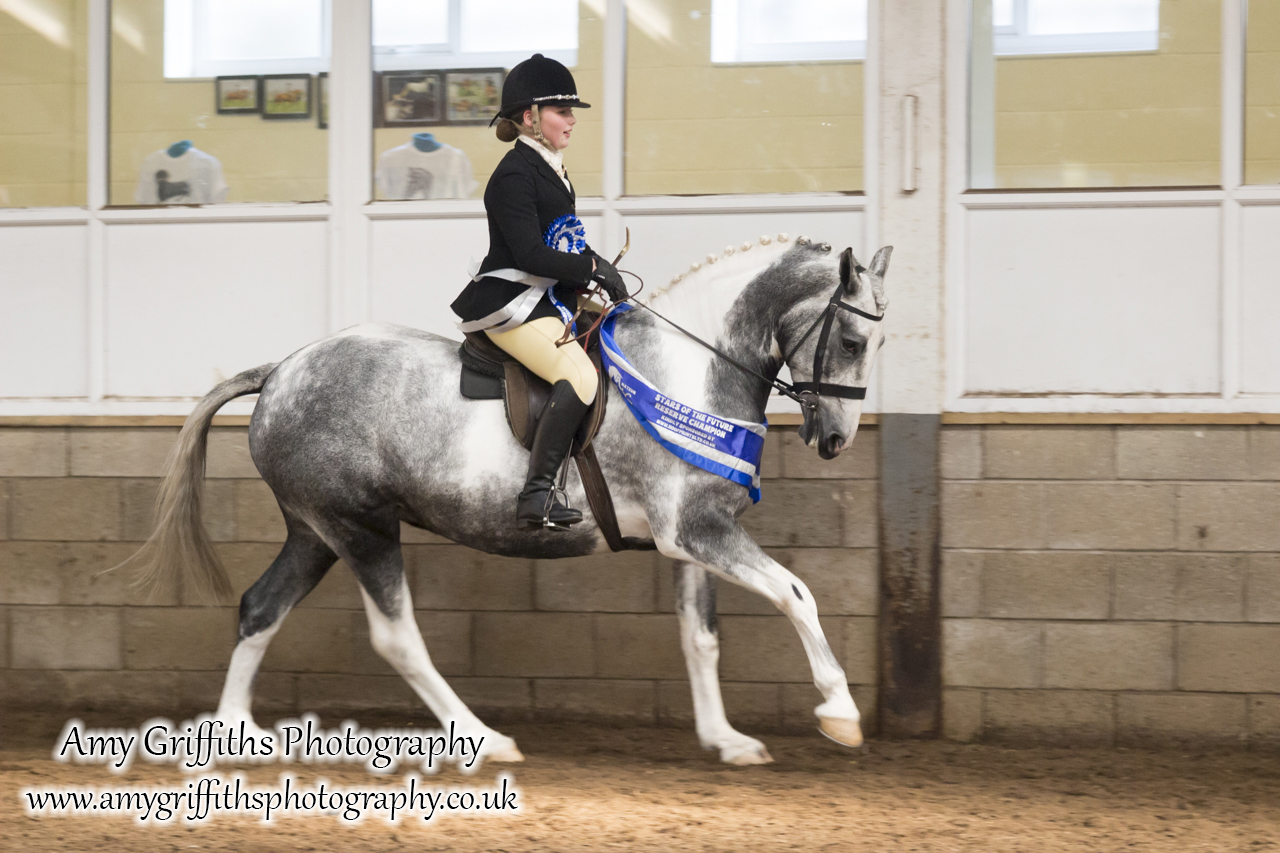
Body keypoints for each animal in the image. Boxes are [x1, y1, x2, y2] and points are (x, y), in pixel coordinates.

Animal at [129, 233, 890, 763]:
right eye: (854, 339)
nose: (836, 438)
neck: (691, 370)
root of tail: (283, 368)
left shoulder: (690, 536)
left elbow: (700, 637)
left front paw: (726, 739)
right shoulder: (699, 530)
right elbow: (797, 594)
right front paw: (840, 713)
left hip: (314, 531)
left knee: (261, 607)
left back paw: (233, 737)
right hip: (361, 527)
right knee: (396, 636)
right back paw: (485, 738)